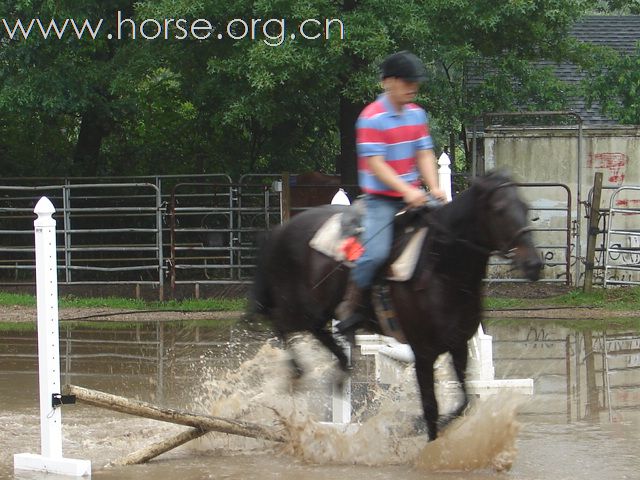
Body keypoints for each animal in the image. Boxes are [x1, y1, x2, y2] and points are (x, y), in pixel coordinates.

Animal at [249, 172, 540, 438]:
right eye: (499, 210)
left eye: (526, 208)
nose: (534, 264)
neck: (441, 269)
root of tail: (281, 229)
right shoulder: (424, 353)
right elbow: (430, 408)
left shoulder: (458, 345)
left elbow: (464, 402)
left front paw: (425, 425)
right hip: (299, 305)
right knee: (281, 321)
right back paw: (298, 370)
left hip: (317, 310)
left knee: (316, 330)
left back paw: (341, 364)